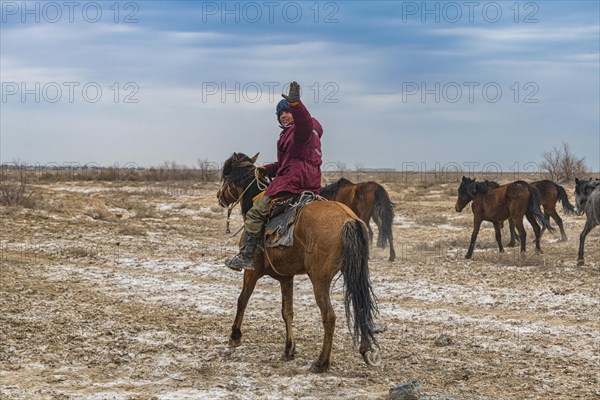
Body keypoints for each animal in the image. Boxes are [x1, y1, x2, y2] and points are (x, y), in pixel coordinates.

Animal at [216, 153, 380, 372]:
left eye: (225, 177)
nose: (219, 196)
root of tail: (348, 219)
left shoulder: (252, 271)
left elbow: (242, 300)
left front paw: (235, 336)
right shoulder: (286, 277)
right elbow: (287, 311)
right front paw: (289, 349)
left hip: (320, 280)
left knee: (329, 316)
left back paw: (322, 362)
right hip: (354, 273)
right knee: (361, 308)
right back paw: (365, 350)